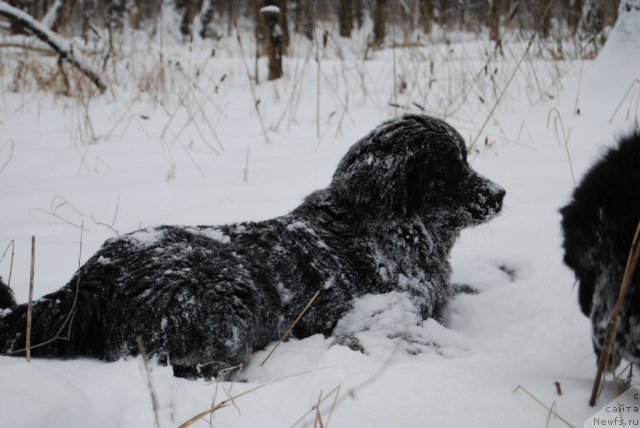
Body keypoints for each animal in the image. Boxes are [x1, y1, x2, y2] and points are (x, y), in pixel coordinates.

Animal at [2, 114, 508, 378]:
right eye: (451, 166)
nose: (501, 194)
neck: (394, 228)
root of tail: (93, 276)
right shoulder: (373, 319)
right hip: (228, 303)